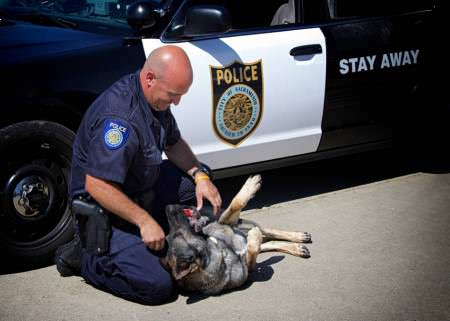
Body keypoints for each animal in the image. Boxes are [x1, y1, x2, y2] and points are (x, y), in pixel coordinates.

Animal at [160, 175, 312, 296]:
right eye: (176, 234)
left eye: (172, 235)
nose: (168, 207)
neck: (222, 252)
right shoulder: (250, 269)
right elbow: (253, 249)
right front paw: (254, 238)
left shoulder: (227, 222)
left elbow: (235, 203)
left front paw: (250, 185)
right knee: (267, 241)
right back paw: (295, 247)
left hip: (241, 223)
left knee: (268, 232)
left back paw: (298, 237)